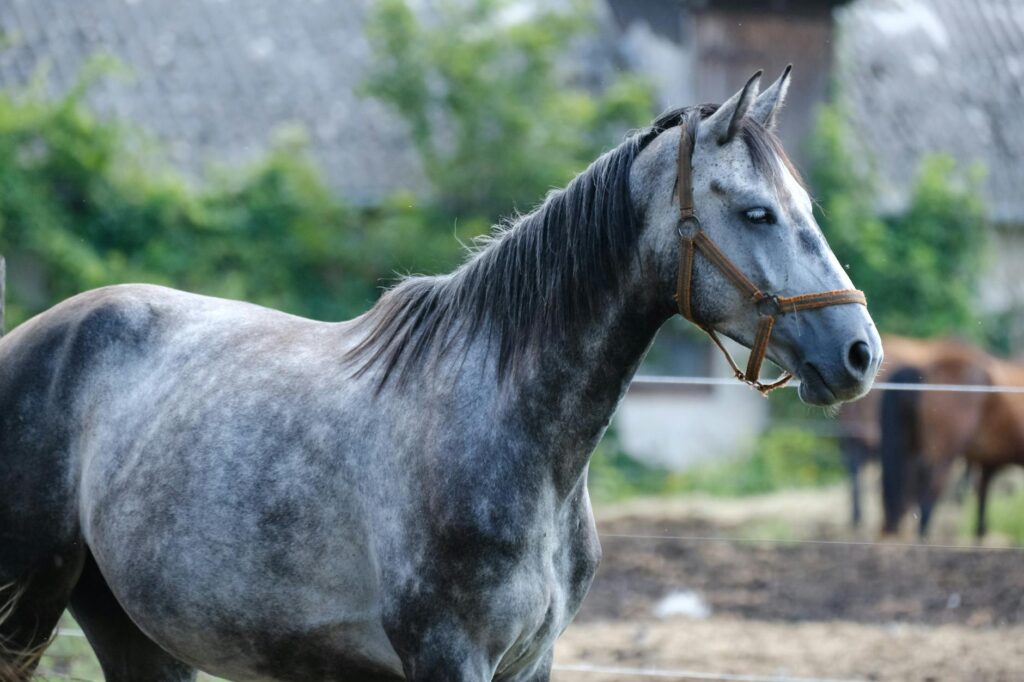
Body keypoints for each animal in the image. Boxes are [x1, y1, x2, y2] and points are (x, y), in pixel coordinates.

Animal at [0, 68, 881, 682]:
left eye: (805, 205)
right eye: (756, 212)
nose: (859, 353)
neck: (506, 426)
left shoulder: (532, 660)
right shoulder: (450, 657)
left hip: (130, 627)